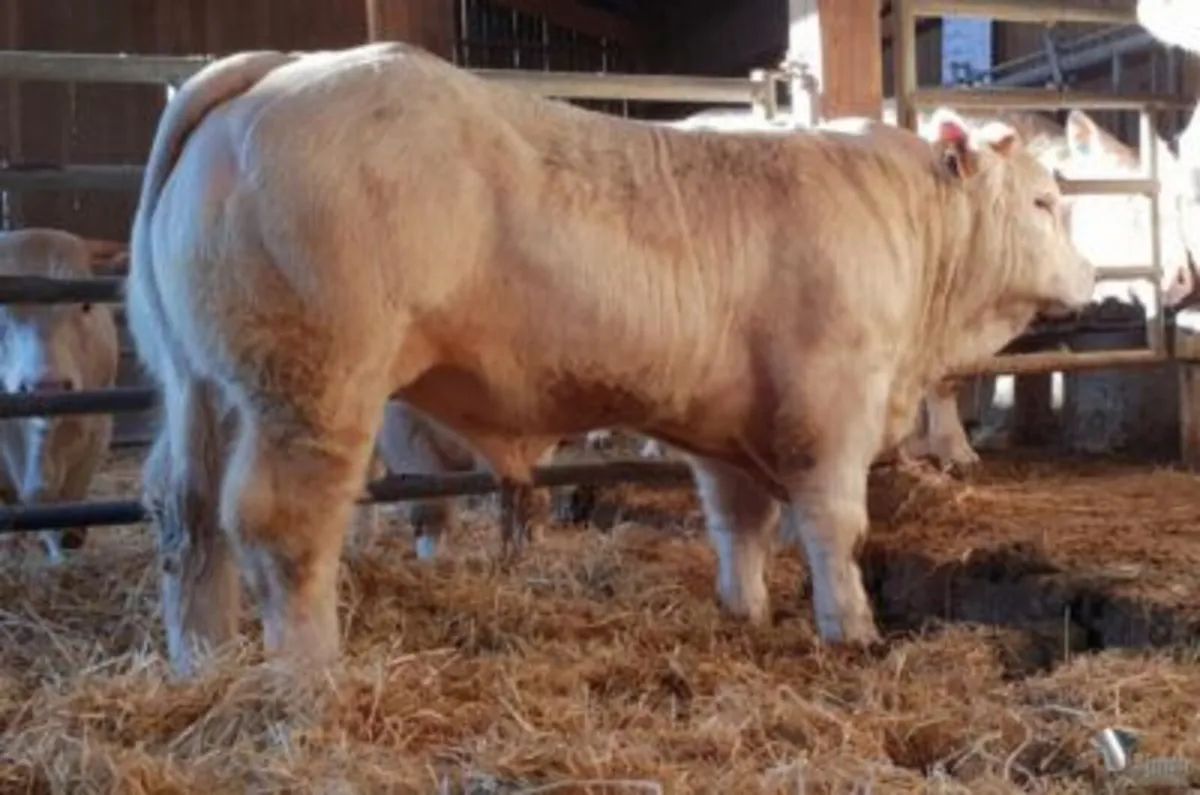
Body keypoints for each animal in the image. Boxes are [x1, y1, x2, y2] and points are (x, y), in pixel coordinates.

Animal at [126, 42, 1094, 676]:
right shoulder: (831, 408)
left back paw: (203, 665)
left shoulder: (730, 426)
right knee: (282, 528)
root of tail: (279, 69)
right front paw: (849, 628)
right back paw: (312, 677)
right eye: (1044, 202)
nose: (1090, 276)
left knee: (189, 517)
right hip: (311, 388)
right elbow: (835, 526)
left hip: (205, 389)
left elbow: (741, 524)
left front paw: (746, 610)